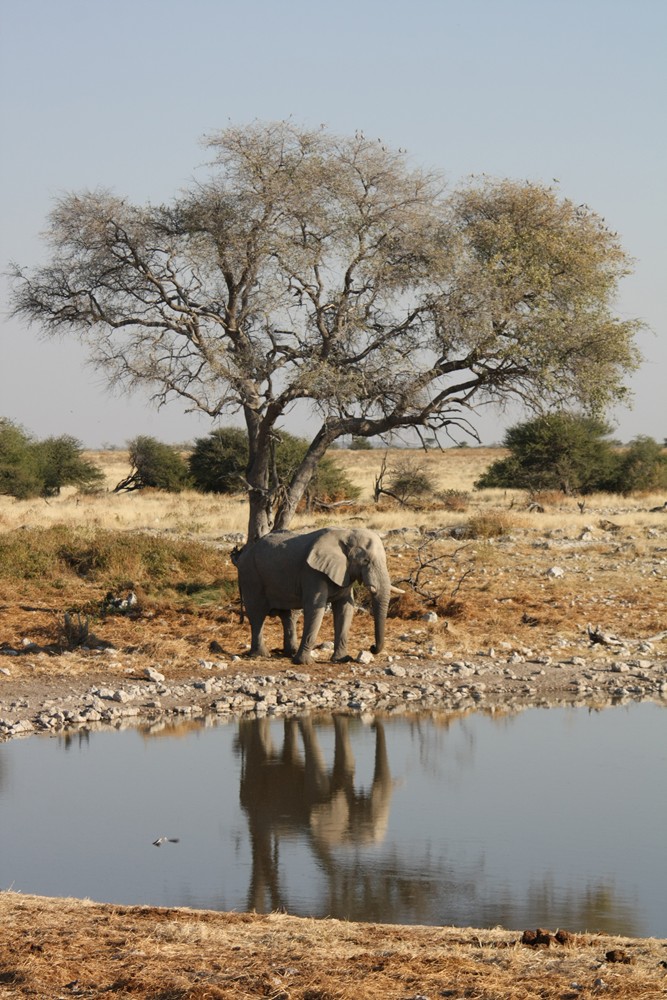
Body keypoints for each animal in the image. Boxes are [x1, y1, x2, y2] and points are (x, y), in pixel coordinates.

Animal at [235, 524, 402, 664]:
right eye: (366, 560)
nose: (372, 647)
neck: (346, 532)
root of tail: (241, 555)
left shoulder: (344, 572)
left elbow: (345, 609)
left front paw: (342, 659)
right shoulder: (312, 572)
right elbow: (316, 608)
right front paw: (304, 663)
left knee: (288, 615)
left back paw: (290, 653)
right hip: (250, 575)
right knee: (257, 614)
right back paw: (261, 655)